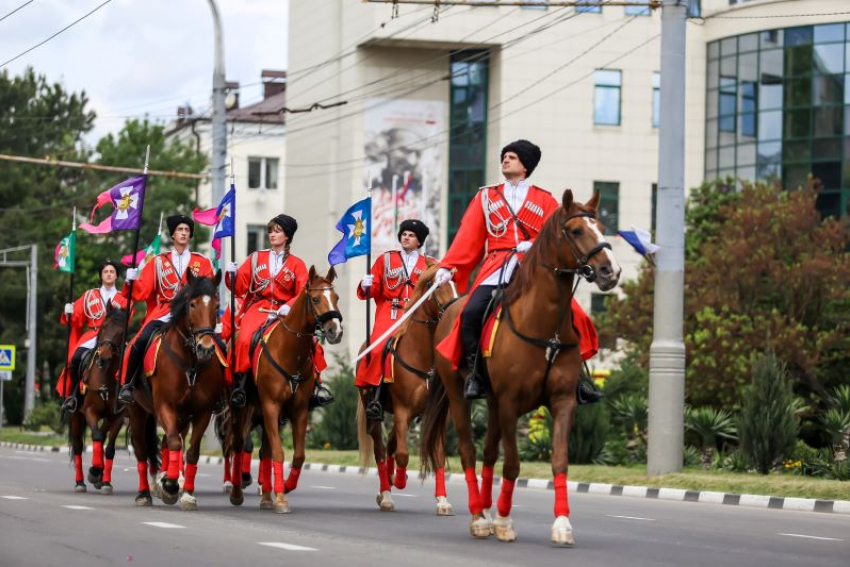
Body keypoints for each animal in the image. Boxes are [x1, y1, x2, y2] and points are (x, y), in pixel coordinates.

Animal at [68, 304, 127, 494]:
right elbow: (96, 436)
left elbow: (109, 448)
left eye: (121, 332)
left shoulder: (118, 417)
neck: (105, 377)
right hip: (75, 416)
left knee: (102, 436)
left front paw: (105, 481)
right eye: (103, 327)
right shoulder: (89, 411)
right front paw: (94, 471)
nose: (103, 357)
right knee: (79, 446)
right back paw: (80, 482)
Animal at [126, 272, 224, 510]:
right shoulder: (165, 406)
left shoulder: (202, 411)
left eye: (217, 306)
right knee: (142, 450)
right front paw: (170, 486)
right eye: (192, 304)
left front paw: (186, 493)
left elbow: (192, 451)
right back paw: (145, 493)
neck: (189, 363)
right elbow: (173, 442)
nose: (205, 348)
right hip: (137, 410)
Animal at [253, 266, 342, 516]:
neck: (290, 352)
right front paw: (281, 499)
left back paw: (266, 495)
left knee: (264, 451)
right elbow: (279, 452)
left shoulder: (300, 410)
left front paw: (287, 486)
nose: (336, 331)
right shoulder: (271, 407)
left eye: (336, 298)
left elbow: (299, 455)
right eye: (316, 299)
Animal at [354, 264, 458, 516]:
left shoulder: (436, 415)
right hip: (376, 412)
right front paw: (399, 481)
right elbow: (402, 455)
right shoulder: (402, 411)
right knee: (381, 449)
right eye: (436, 285)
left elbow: (438, 455)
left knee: (392, 442)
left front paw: (443, 500)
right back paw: (386, 492)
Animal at [420, 191, 620, 544]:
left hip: (493, 403)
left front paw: (561, 524)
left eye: (602, 227)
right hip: (459, 397)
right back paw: (479, 516)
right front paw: (503, 521)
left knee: (487, 453)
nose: (611, 271)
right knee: (469, 451)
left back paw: (486, 510)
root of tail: (450, 309)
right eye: (577, 231)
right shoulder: (511, 403)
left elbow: (559, 460)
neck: (544, 325)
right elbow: (512, 463)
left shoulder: (562, 401)